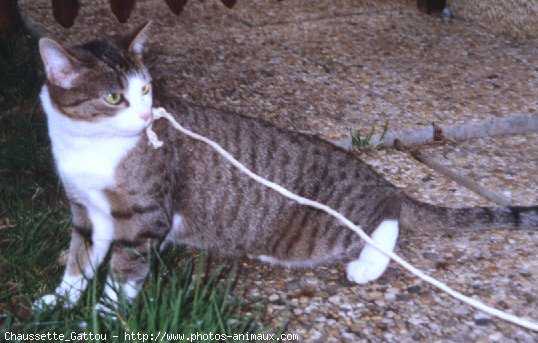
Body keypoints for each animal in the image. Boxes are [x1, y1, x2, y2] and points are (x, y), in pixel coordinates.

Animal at [34, 22, 536, 310]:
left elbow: (124, 271)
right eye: (113, 97)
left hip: (332, 223)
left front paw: (105, 316)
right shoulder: (88, 212)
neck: (87, 146)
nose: (144, 115)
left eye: (145, 90)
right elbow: (80, 258)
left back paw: (369, 262)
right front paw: (59, 300)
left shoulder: (144, 217)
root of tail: (369, 173)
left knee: (387, 208)